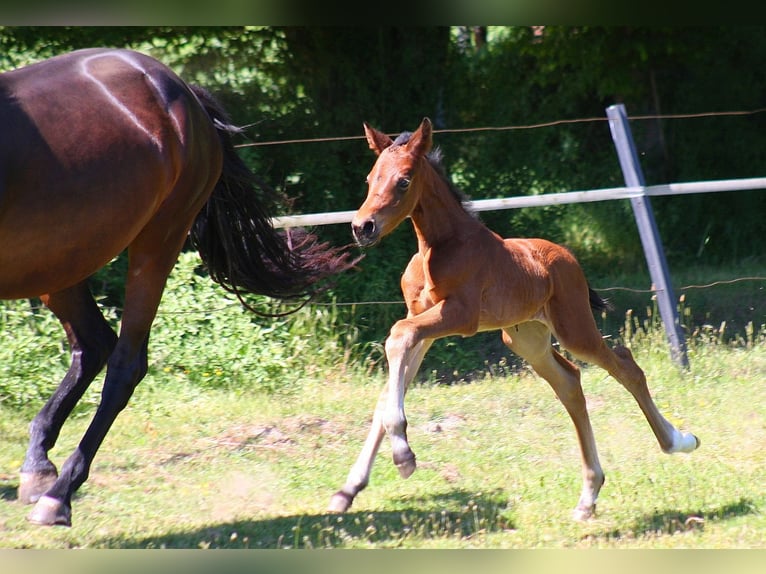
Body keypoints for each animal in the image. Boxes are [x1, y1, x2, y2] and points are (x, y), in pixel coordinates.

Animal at [0, 48, 355, 526]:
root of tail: (178, 88)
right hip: (59, 264)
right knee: (92, 345)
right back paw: (38, 469)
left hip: (157, 241)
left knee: (124, 363)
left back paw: (58, 495)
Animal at [328, 117, 700, 521]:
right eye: (370, 178)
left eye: (404, 180)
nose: (362, 227)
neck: (440, 247)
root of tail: (568, 257)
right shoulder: (422, 324)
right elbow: (390, 386)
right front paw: (348, 490)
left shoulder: (458, 315)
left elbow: (397, 336)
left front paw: (404, 457)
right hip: (526, 339)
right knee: (570, 383)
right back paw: (588, 497)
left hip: (574, 329)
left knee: (627, 366)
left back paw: (679, 441)